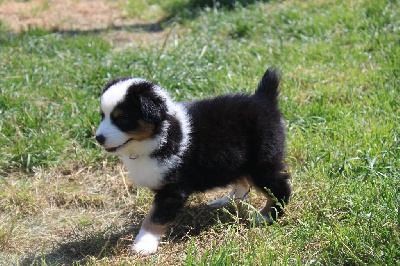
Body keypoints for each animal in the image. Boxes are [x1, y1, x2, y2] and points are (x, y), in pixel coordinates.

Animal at [96, 68, 290, 256]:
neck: (160, 135)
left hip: (261, 163)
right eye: (102, 116)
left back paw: (266, 216)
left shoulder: (173, 189)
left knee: (280, 188)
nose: (98, 138)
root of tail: (264, 100)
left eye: (122, 118)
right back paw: (226, 201)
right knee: (242, 181)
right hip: (236, 158)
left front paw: (144, 244)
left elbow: (154, 218)